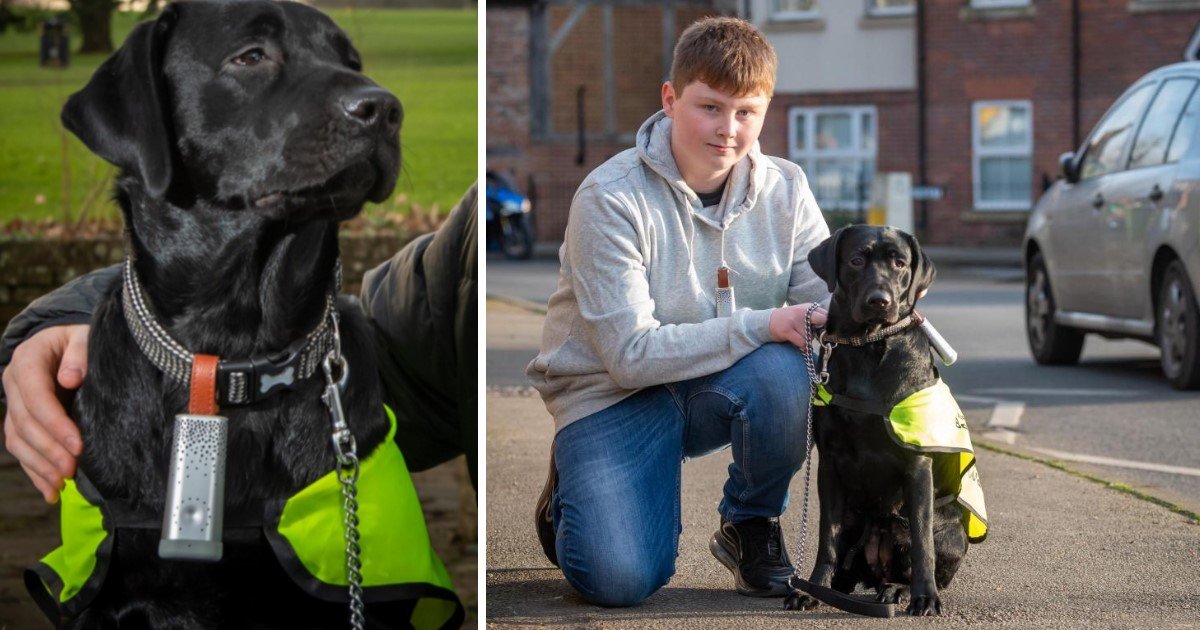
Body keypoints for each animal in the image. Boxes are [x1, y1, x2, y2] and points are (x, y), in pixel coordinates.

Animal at [787, 224, 984, 614]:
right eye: (856, 260)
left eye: (900, 263)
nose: (880, 300)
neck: (868, 344)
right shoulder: (830, 464)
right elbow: (826, 537)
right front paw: (812, 588)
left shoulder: (917, 465)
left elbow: (922, 543)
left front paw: (925, 596)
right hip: (855, 520)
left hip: (949, 531)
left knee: (918, 555)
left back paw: (899, 590)